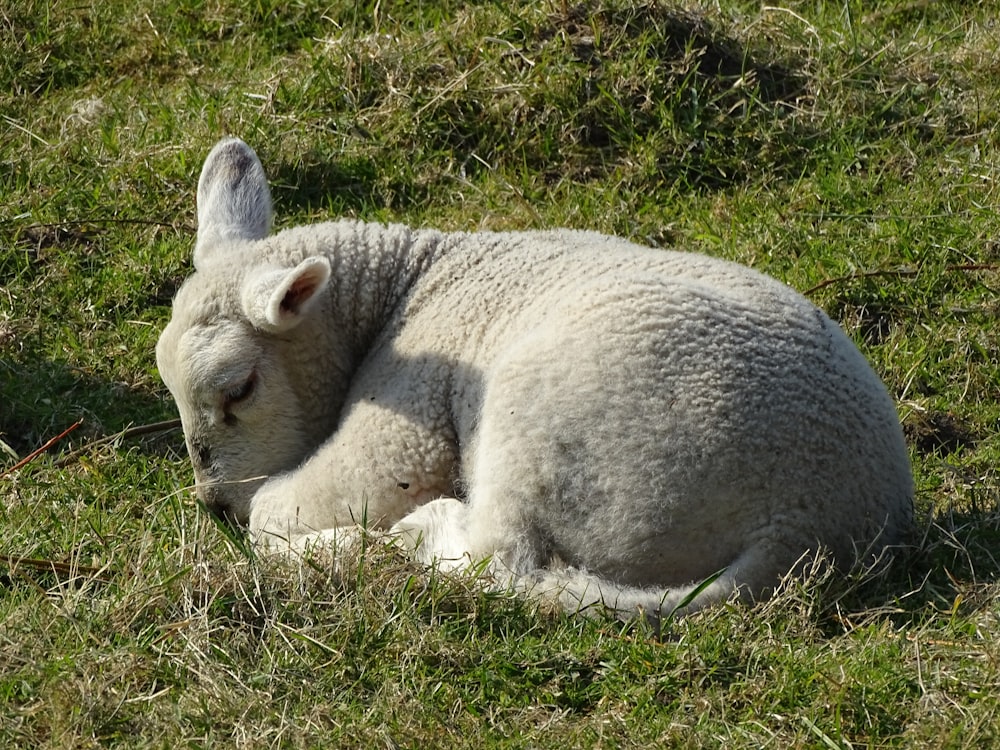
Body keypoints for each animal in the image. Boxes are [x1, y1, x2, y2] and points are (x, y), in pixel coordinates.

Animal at [156, 138, 916, 620]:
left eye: (240, 390)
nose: (213, 506)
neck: (403, 286)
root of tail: (808, 528)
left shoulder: (407, 421)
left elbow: (280, 511)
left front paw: (278, 523)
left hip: (554, 430)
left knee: (499, 559)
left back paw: (409, 534)